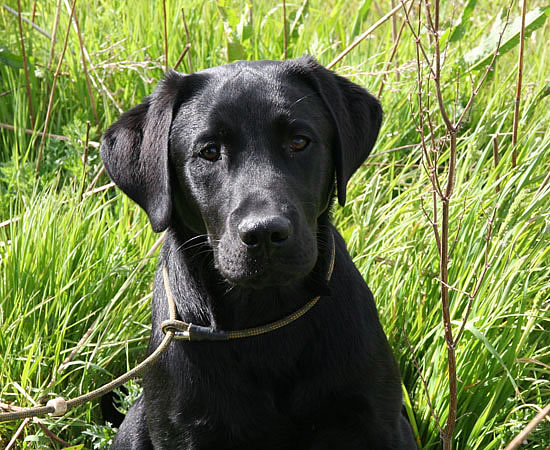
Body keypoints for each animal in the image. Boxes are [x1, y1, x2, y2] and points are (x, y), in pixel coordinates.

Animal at [101, 56, 416, 450]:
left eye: (299, 141)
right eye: (209, 151)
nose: (265, 232)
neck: (264, 320)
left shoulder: (382, 424)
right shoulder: (186, 433)